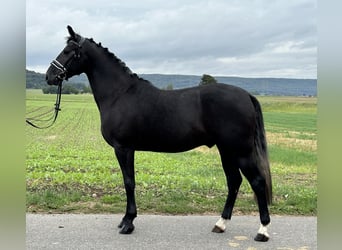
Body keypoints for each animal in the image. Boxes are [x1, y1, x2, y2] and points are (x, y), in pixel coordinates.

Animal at [46, 26, 272, 241]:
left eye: (67, 51)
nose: (49, 76)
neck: (120, 94)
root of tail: (246, 95)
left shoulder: (124, 148)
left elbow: (129, 182)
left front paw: (128, 223)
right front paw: (125, 221)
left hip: (240, 151)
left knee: (257, 182)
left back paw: (263, 231)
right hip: (226, 151)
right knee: (234, 182)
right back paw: (221, 224)